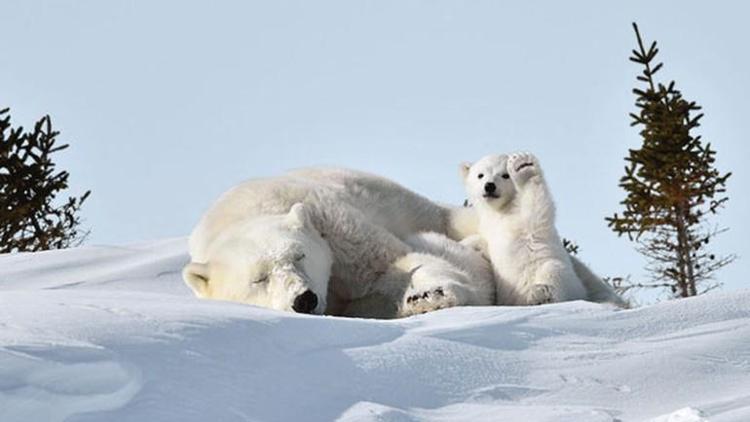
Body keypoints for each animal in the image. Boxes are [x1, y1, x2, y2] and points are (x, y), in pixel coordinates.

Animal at [181, 166, 494, 318]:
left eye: (300, 255)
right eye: (259, 279)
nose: (304, 299)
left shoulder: (331, 224)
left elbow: (392, 263)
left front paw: (431, 295)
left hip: (417, 207)